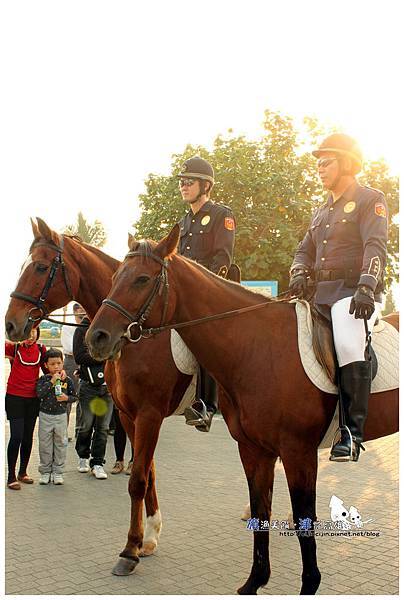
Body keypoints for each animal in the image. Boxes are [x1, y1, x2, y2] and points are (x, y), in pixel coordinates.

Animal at [3, 219, 193, 564]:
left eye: (40, 267)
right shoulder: (131, 415)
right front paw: (150, 535)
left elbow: (138, 478)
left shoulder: (150, 414)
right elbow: (148, 473)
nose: (11, 324)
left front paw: (132, 547)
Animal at [86, 225, 400, 596]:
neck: (256, 346)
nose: (96, 338)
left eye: (142, 279)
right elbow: (260, 513)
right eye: (115, 277)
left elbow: (304, 520)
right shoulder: (253, 449)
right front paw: (255, 581)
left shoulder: (297, 451)